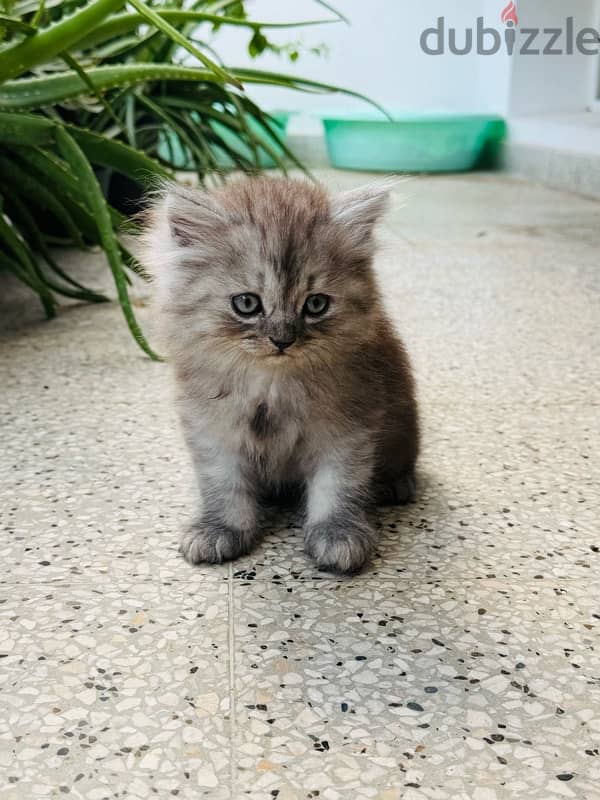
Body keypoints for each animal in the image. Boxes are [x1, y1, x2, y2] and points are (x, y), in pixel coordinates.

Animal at [141, 176, 420, 576]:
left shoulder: (348, 428)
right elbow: (222, 485)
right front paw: (220, 528)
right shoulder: (212, 430)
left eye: (316, 304)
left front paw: (337, 533)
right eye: (246, 303)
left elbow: (338, 485)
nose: (283, 339)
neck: (270, 385)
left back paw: (395, 485)